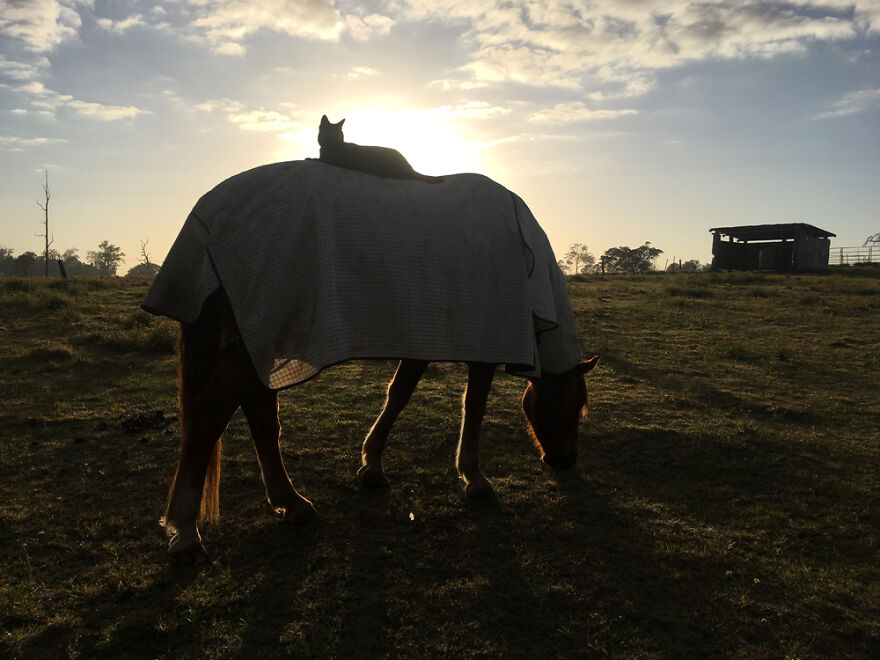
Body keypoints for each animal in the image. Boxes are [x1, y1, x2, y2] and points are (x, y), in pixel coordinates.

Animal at [160, 289, 599, 563]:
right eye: (573, 403)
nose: (565, 460)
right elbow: (472, 405)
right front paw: (473, 476)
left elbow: (400, 392)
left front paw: (371, 464)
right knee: (209, 414)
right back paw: (186, 533)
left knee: (260, 415)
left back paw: (290, 502)